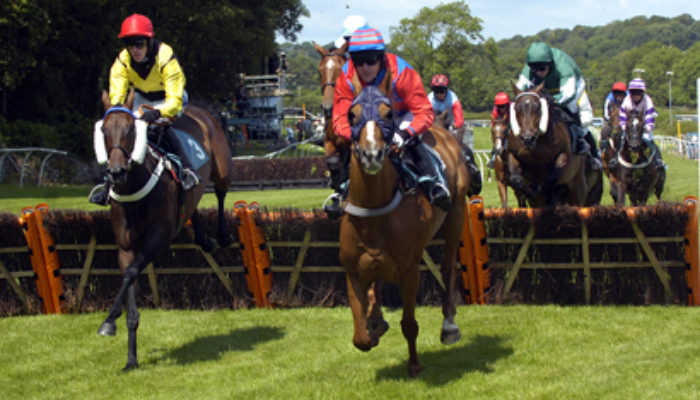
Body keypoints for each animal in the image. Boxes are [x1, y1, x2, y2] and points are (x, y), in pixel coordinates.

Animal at [94, 90, 235, 368]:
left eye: (131, 129)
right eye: (104, 130)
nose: (116, 172)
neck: (134, 191)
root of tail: (198, 109)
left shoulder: (159, 239)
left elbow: (131, 273)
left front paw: (109, 320)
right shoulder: (125, 247)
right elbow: (129, 282)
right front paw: (131, 359)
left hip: (222, 166)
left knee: (221, 191)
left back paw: (222, 235)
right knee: (193, 204)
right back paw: (204, 239)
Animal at [340, 79, 470, 376]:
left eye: (388, 114)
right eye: (351, 115)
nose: (372, 155)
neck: (373, 212)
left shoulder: (410, 271)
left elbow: (409, 324)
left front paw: (414, 365)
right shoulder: (353, 272)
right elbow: (359, 338)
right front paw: (373, 326)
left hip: (457, 212)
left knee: (448, 266)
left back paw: (449, 326)